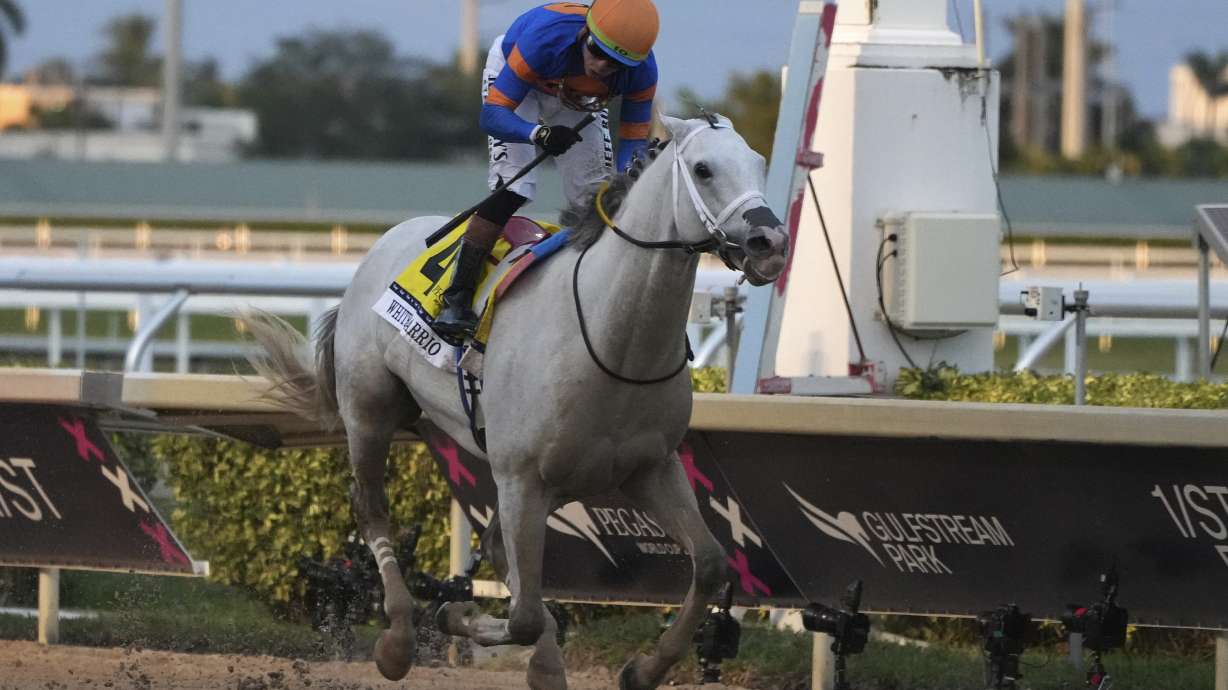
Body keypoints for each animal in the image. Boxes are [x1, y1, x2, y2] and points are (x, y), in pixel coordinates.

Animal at [243, 114, 789, 690]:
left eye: (759, 163)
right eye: (704, 169)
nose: (770, 242)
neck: (610, 336)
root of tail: (388, 238)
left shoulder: (649, 468)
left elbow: (709, 564)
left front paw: (645, 668)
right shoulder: (522, 476)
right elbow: (523, 614)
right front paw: (457, 616)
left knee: (500, 549)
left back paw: (543, 666)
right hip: (371, 413)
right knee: (372, 509)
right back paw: (398, 638)